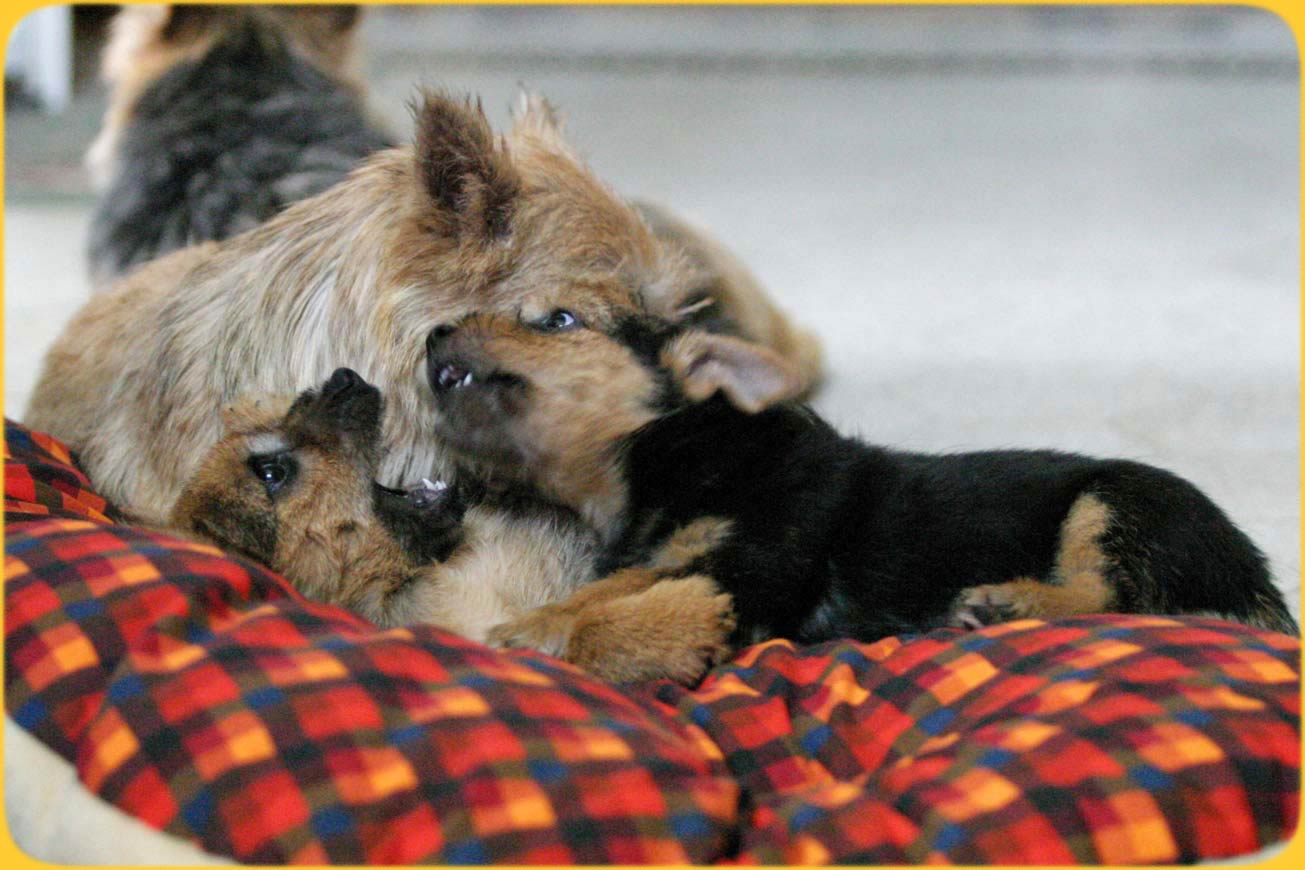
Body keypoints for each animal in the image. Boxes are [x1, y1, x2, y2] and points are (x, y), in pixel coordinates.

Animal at [425, 307, 1294, 660]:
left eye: (557, 321)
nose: (433, 332)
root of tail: (1260, 586)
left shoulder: (760, 562)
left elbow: (621, 594)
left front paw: (543, 629)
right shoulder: (685, 553)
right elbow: (618, 581)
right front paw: (543, 618)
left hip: (1116, 505)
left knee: (1114, 597)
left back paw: (1008, 602)